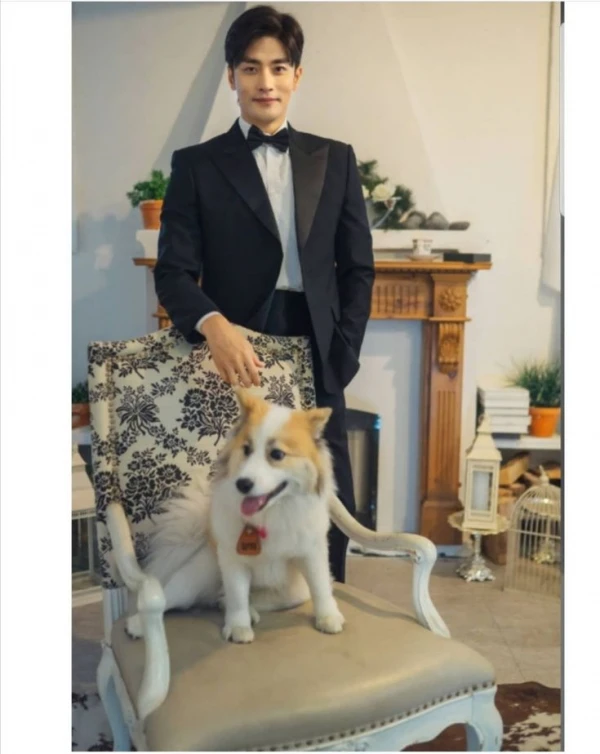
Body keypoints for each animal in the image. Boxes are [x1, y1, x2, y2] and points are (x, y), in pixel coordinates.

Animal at [126, 388, 346, 644]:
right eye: (246, 450)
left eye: (277, 454)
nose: (243, 484)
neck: (270, 514)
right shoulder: (233, 561)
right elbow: (238, 595)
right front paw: (239, 627)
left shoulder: (312, 553)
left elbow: (321, 587)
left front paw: (328, 616)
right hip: (197, 576)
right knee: (174, 596)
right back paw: (138, 624)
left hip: (293, 591)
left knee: (232, 598)